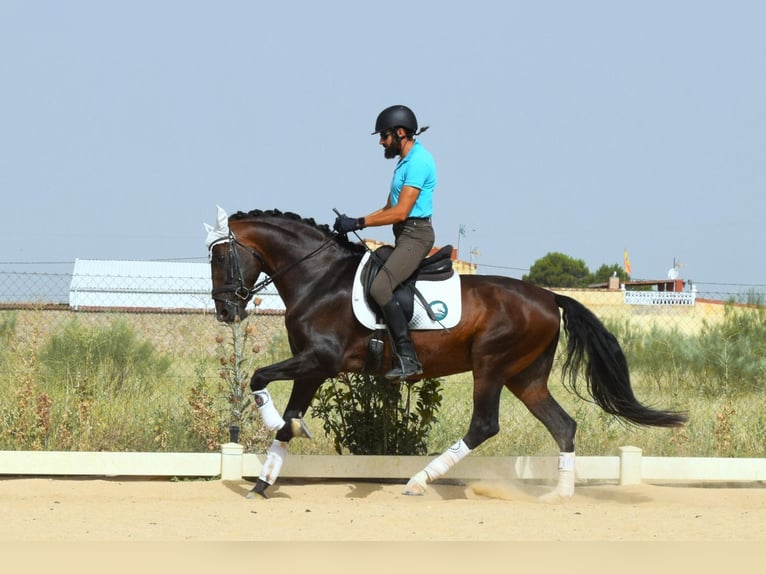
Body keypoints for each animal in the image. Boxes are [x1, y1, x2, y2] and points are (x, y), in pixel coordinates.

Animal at [206, 206, 688, 500]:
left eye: (220, 257)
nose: (226, 311)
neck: (320, 279)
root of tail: (549, 296)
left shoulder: (320, 360)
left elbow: (260, 379)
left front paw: (276, 433)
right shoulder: (311, 367)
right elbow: (288, 418)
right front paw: (263, 482)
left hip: (491, 366)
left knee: (484, 425)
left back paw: (419, 480)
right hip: (526, 376)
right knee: (563, 425)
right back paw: (559, 494)